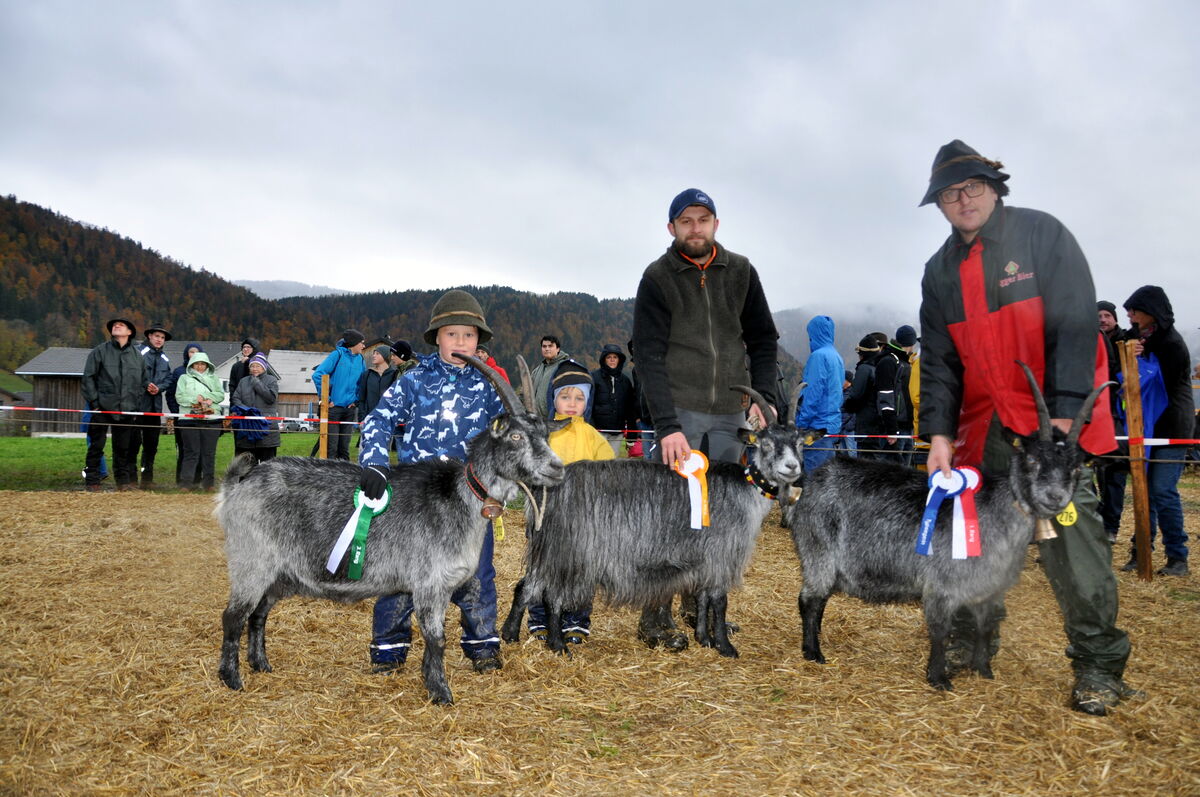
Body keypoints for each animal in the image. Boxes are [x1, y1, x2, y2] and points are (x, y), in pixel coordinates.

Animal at [215, 354, 565, 705]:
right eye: (515, 436)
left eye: (545, 436)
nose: (557, 468)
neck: (459, 496)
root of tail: (238, 484)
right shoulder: (429, 584)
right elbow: (437, 638)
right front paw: (441, 693)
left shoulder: (442, 585)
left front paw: (431, 681)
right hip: (252, 562)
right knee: (233, 617)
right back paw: (231, 678)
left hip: (278, 574)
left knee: (258, 614)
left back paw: (261, 664)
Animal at [502, 386, 818, 658]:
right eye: (766, 444)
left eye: (799, 443)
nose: (792, 467)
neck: (746, 488)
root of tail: (545, 488)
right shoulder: (722, 553)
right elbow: (719, 600)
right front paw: (725, 647)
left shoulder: (705, 557)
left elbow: (702, 597)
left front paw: (703, 638)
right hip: (568, 551)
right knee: (551, 595)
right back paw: (557, 645)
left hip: (549, 548)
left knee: (527, 585)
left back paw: (509, 634)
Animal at [788, 362, 1111, 691]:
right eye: (1032, 460)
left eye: (1076, 468)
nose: (1055, 496)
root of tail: (814, 479)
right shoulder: (941, 586)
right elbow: (940, 631)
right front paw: (939, 677)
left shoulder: (988, 588)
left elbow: (984, 626)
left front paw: (983, 669)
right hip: (819, 550)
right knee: (808, 599)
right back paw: (813, 651)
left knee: (820, 599)